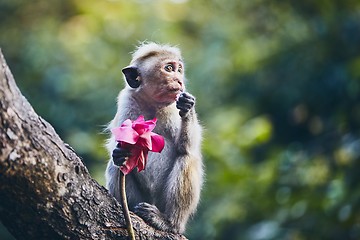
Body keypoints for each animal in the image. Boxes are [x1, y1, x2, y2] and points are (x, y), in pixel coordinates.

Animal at [105, 42, 204, 233]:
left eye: (179, 69)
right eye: (169, 68)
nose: (179, 80)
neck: (152, 104)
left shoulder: (173, 109)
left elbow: (187, 148)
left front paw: (187, 107)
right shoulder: (127, 101)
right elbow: (118, 146)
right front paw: (119, 153)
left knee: (186, 159)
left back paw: (169, 222)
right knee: (116, 167)